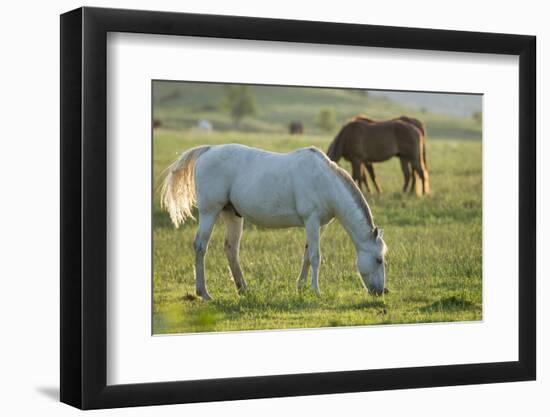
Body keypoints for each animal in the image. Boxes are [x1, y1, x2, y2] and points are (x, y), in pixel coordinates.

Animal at [162, 143, 390, 300]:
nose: (381, 291)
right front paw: (316, 291)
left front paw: (300, 288)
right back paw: (204, 293)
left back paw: (243, 289)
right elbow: (315, 256)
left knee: (231, 249)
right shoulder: (312, 220)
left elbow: (306, 256)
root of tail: (208, 150)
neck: (325, 181)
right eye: (379, 259)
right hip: (210, 212)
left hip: (231, 214)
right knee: (201, 246)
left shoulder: (319, 226)